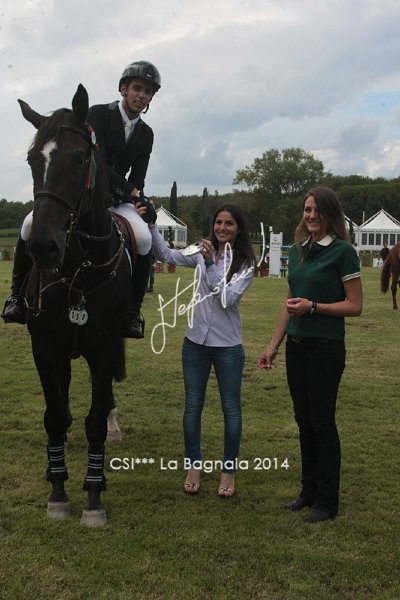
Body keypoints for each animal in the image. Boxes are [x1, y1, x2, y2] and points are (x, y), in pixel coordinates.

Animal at [20, 84, 132, 526]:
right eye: (33, 159)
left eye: (80, 158)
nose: (42, 247)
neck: (79, 270)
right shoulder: (44, 346)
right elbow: (54, 417)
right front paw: (57, 491)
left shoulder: (104, 347)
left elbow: (95, 420)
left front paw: (94, 497)